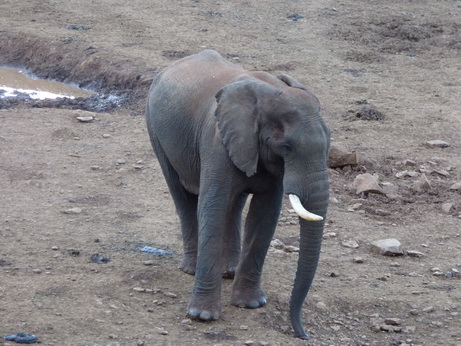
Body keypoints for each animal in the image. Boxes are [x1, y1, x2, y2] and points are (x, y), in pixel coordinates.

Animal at [146, 50, 328, 340]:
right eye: (286, 148)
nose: (303, 334)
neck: (268, 94)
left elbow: (265, 215)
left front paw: (251, 304)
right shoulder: (216, 142)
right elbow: (212, 209)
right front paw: (202, 316)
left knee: (235, 203)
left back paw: (228, 271)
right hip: (155, 129)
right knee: (182, 196)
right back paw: (192, 269)